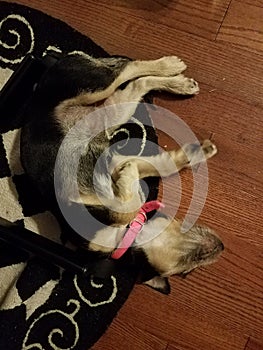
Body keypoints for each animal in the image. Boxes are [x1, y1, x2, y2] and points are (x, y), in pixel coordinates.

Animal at [20, 53, 224, 294]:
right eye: (187, 269)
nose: (221, 246)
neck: (124, 235)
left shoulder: (116, 163)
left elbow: (160, 167)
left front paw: (200, 150)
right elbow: (128, 203)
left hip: (111, 110)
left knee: (138, 81)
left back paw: (179, 82)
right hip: (94, 86)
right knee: (127, 69)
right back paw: (171, 66)